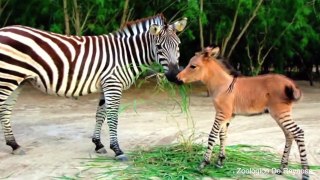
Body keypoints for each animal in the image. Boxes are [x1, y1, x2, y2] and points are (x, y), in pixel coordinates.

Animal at [0, 14, 188, 160]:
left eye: (178, 44)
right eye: (159, 47)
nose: (174, 76)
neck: (125, 55)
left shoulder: (106, 86)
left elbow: (100, 115)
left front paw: (98, 144)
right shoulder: (113, 85)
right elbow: (113, 117)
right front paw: (117, 150)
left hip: (17, 80)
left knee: (6, 110)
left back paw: (14, 145)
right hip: (7, 78)